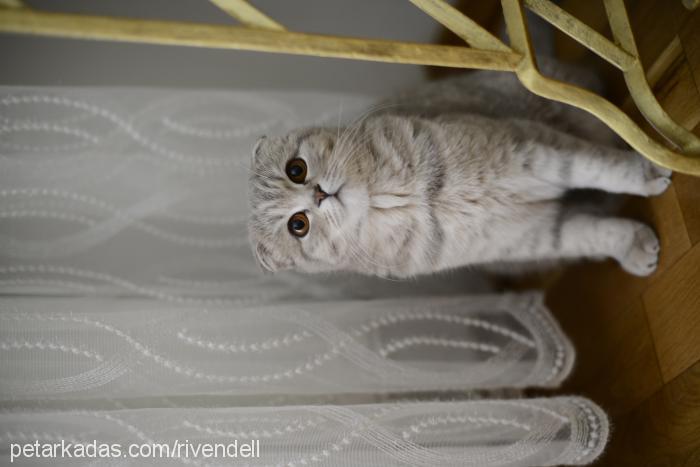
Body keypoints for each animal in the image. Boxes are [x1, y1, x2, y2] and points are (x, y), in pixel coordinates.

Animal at [249, 58, 668, 278]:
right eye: (298, 225)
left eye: (296, 170)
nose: (318, 193)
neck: (411, 200)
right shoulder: (528, 238)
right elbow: (592, 233)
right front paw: (631, 244)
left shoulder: (530, 149)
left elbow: (600, 167)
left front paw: (646, 170)